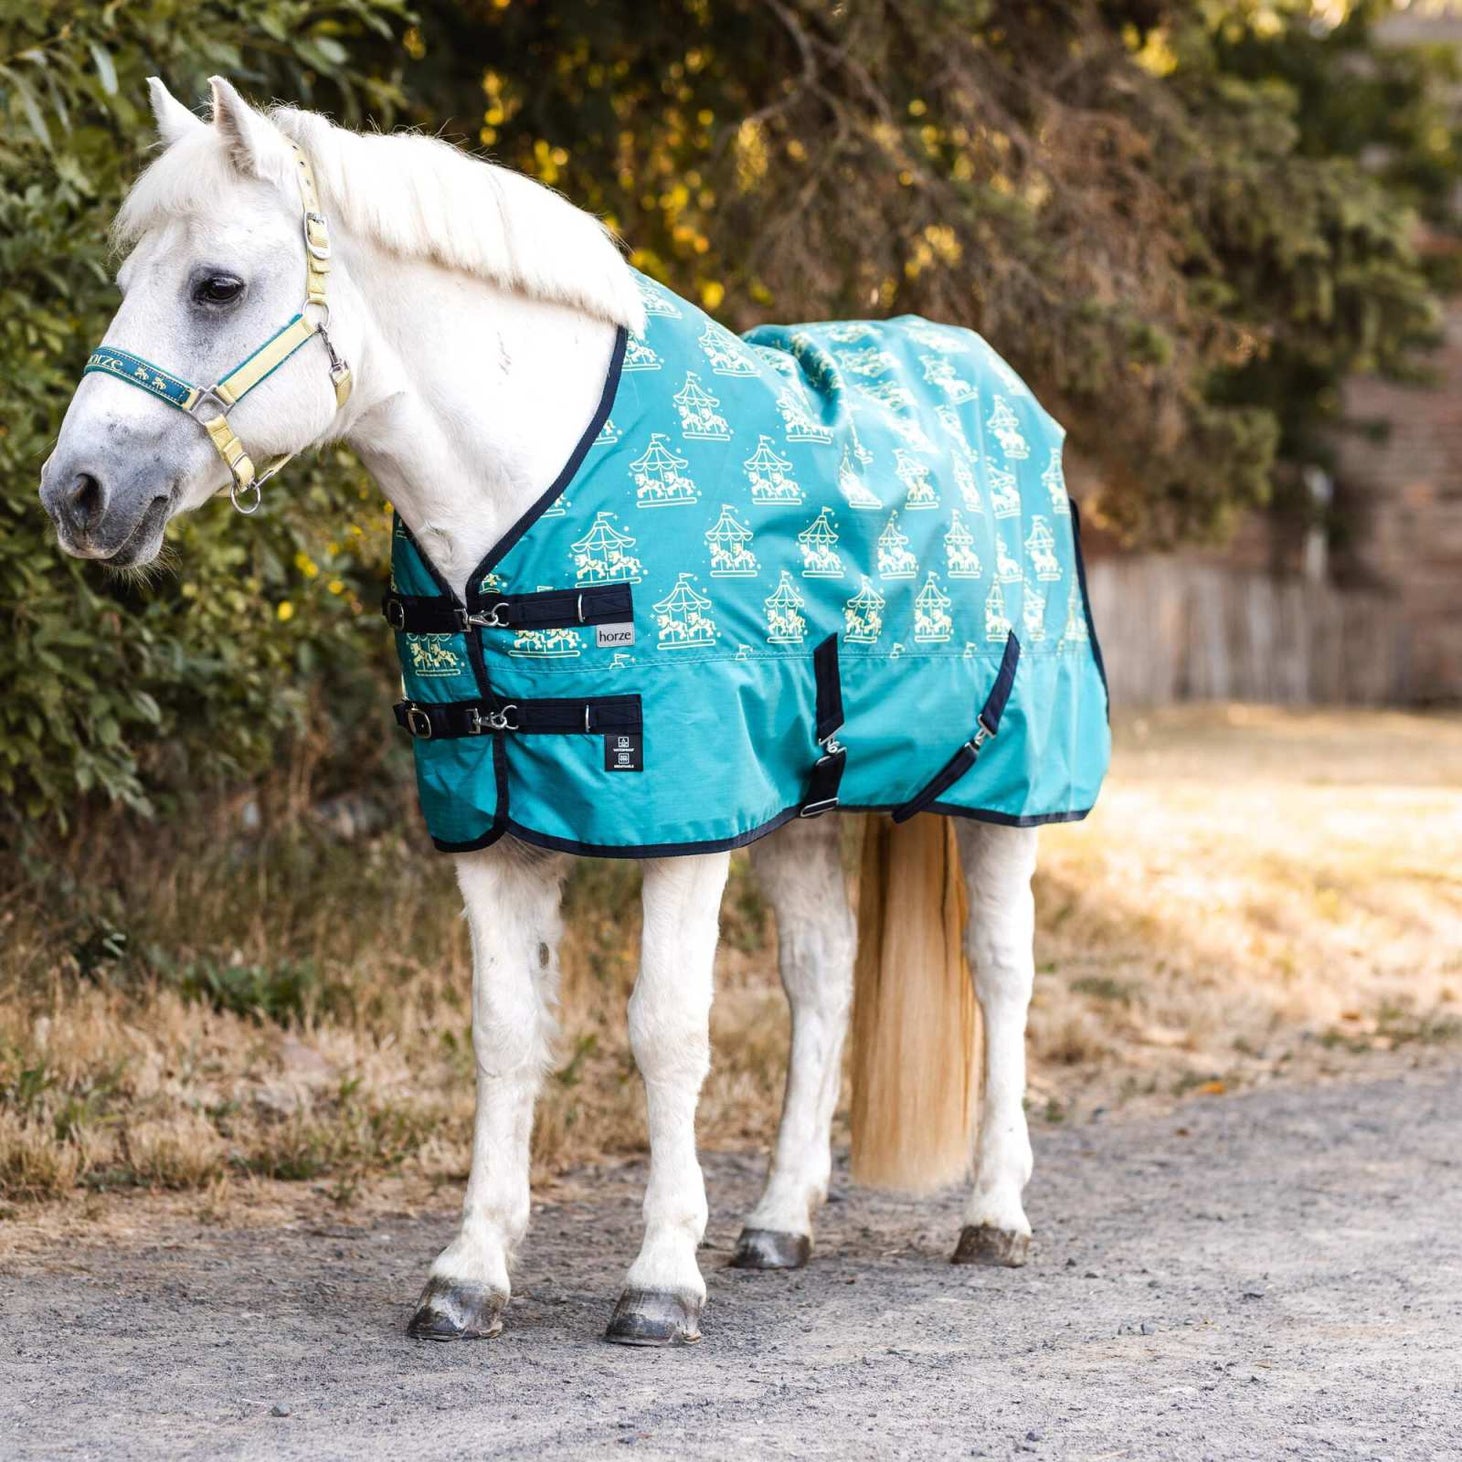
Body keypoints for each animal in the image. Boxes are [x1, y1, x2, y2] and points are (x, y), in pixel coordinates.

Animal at [39, 78, 1104, 1347]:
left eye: (216, 285)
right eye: (129, 278)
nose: (76, 493)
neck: (529, 485)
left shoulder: (684, 824)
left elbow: (666, 1031)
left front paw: (658, 1278)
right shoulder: (495, 829)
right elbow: (506, 1035)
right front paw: (468, 1272)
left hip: (1004, 795)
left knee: (1001, 973)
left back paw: (993, 1213)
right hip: (802, 807)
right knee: (823, 974)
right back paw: (779, 1220)